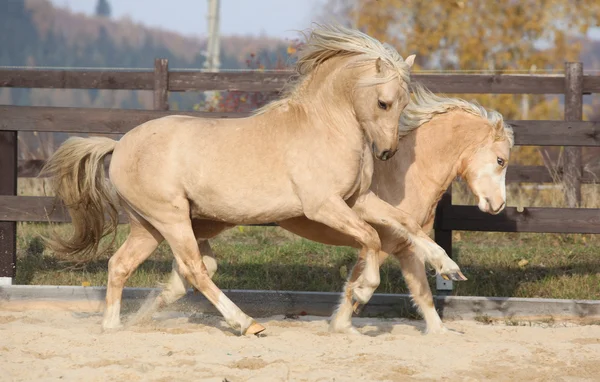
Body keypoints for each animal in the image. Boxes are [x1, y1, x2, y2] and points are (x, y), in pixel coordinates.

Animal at [42, 23, 450, 334]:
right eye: (383, 102)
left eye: (405, 101)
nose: (387, 152)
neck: (326, 127)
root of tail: (120, 145)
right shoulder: (324, 206)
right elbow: (370, 239)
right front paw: (363, 292)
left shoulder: (357, 200)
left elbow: (405, 222)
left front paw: (447, 266)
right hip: (171, 219)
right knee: (194, 270)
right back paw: (246, 323)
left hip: (148, 227)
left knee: (120, 265)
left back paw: (113, 326)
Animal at [149, 83, 510, 334]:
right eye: (501, 160)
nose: (497, 205)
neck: (405, 172)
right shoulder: (380, 244)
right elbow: (359, 285)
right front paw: (345, 321)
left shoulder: (404, 249)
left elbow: (421, 293)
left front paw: (440, 328)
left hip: (203, 223)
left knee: (186, 268)